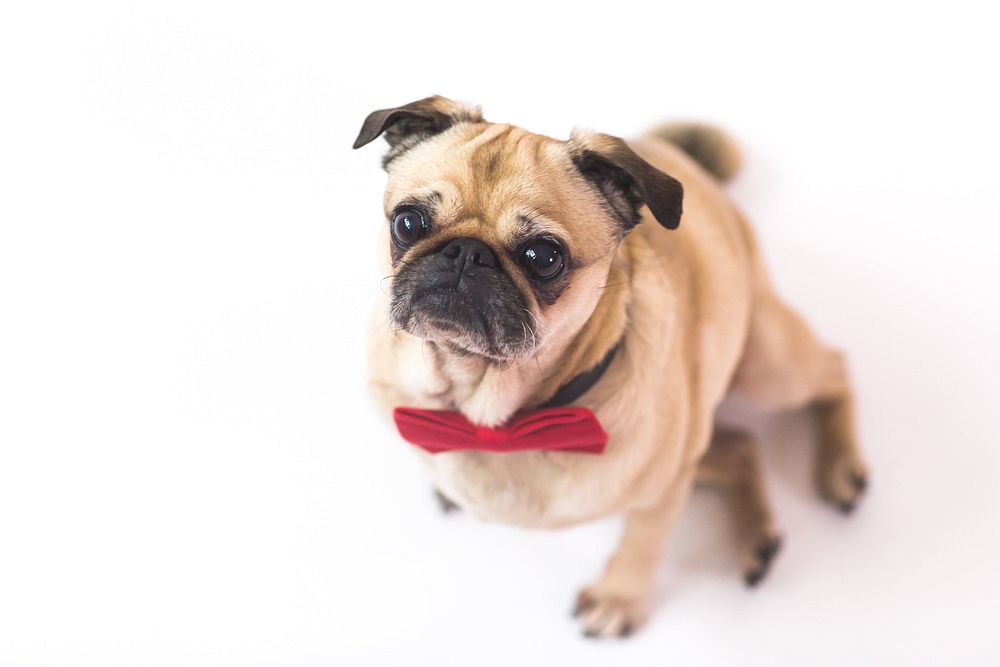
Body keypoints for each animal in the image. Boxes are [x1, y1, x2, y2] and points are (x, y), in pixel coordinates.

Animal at [352, 96, 868, 640]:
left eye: (543, 256)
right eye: (408, 223)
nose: (467, 254)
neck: (489, 413)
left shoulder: (661, 497)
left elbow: (641, 547)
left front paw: (618, 600)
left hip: (764, 364)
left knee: (834, 370)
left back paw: (839, 468)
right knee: (743, 447)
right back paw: (759, 535)